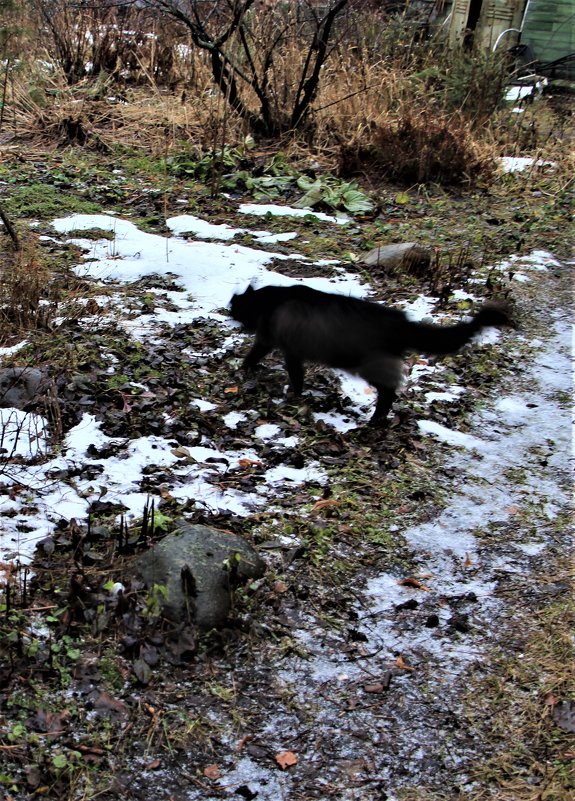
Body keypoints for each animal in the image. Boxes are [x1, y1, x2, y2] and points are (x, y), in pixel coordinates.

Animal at [230, 286, 508, 424]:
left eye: (234, 307)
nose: (228, 312)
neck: (268, 299)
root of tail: (403, 322)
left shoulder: (279, 345)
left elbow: (269, 362)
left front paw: (247, 370)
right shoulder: (291, 351)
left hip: (368, 366)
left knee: (389, 392)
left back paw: (375, 420)